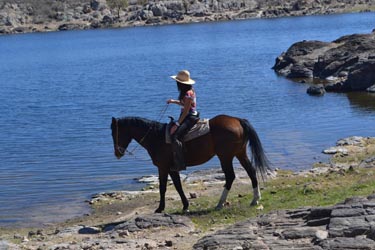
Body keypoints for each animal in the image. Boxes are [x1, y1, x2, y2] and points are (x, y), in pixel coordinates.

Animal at [110, 115, 272, 213]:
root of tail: (238, 120)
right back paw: (255, 199)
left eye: (114, 133)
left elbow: (163, 188)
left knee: (230, 176)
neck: (157, 137)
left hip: (225, 157)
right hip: (239, 153)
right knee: (251, 171)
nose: (117, 153)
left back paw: (220, 203)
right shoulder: (172, 168)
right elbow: (178, 186)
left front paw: (160, 208)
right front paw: (185, 205)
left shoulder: (163, 167)